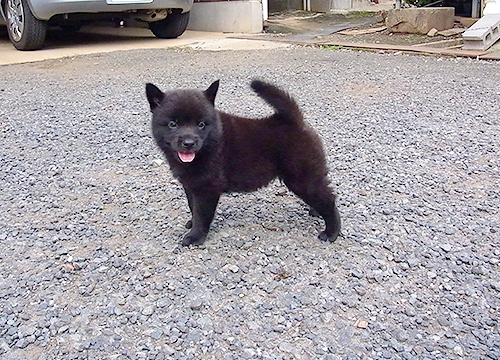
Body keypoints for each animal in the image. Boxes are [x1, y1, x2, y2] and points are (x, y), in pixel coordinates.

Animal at [146, 80, 340, 246]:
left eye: (201, 124)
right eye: (172, 124)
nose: (188, 143)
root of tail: (295, 121)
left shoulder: (206, 188)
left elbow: (201, 214)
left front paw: (195, 236)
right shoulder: (190, 186)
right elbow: (192, 207)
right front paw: (191, 223)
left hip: (302, 178)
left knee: (329, 199)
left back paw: (332, 232)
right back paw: (316, 211)